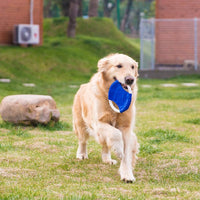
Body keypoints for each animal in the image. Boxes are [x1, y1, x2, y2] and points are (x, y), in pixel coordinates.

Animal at [72, 53, 140, 183]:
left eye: (132, 67)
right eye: (119, 66)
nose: (130, 80)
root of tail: (82, 86)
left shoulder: (126, 128)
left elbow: (126, 153)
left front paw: (127, 174)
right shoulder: (99, 123)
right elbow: (115, 134)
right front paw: (118, 149)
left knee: (105, 144)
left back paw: (107, 159)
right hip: (80, 123)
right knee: (82, 141)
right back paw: (82, 154)